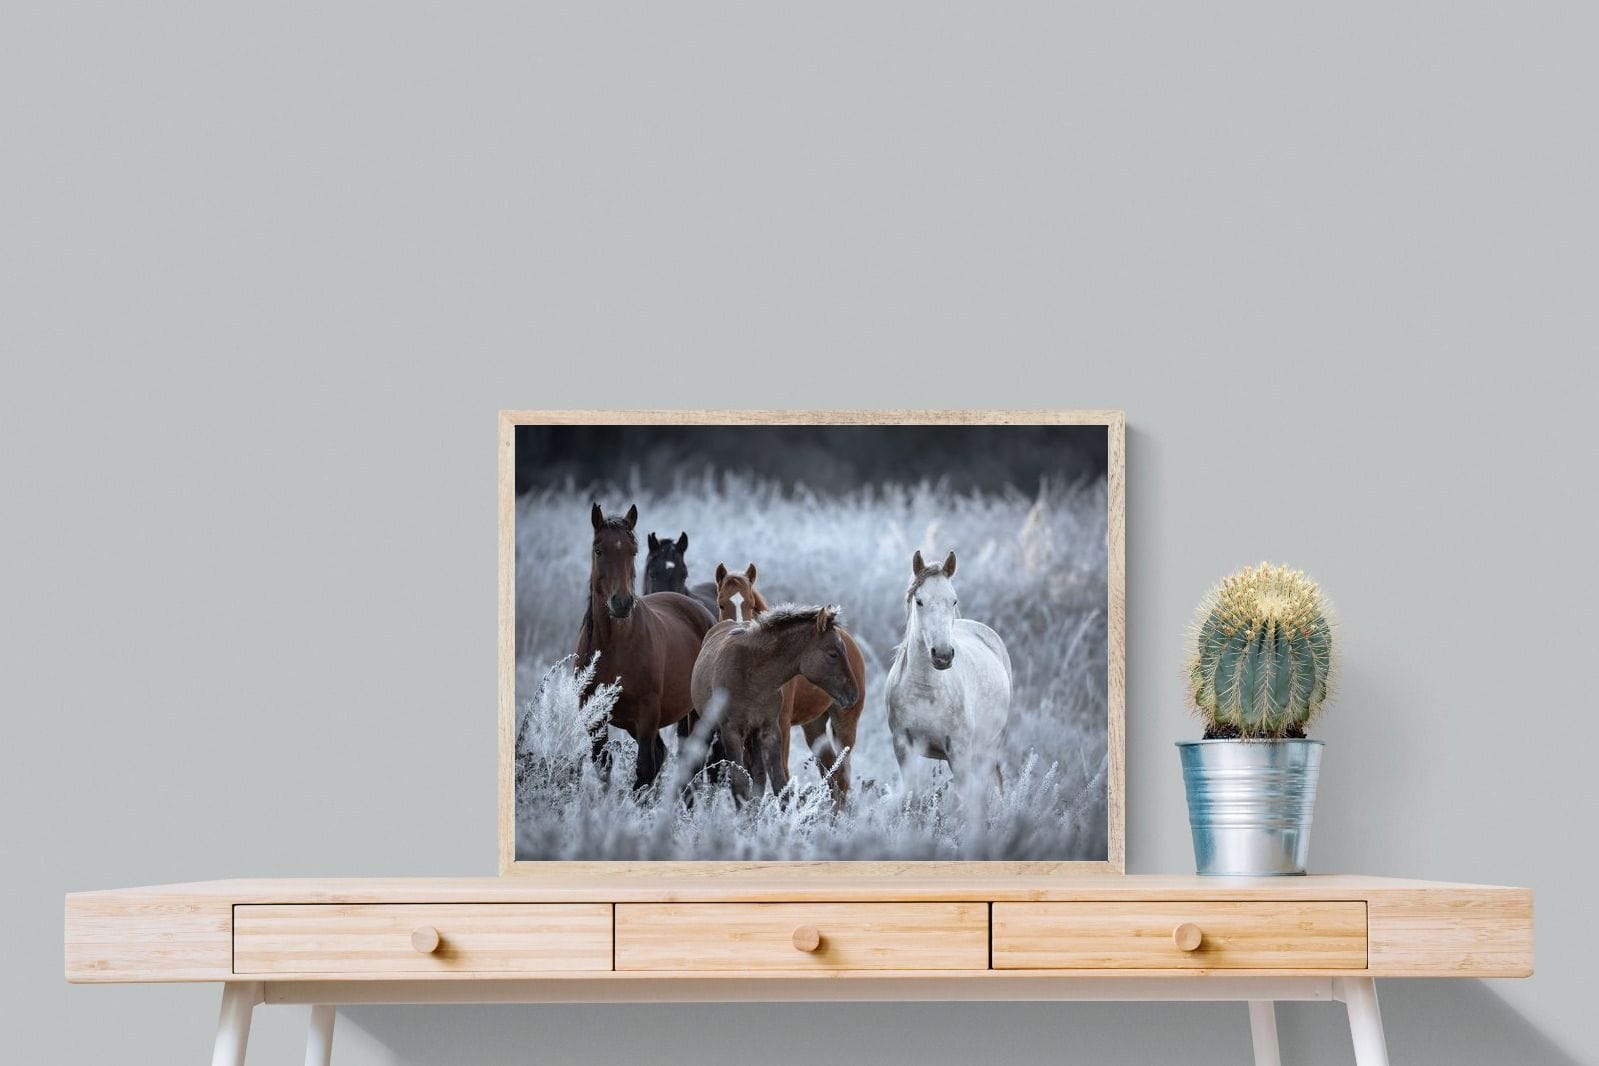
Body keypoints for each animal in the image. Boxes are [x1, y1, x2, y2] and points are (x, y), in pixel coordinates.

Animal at [577, 503, 715, 790]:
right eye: (598, 549)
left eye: (633, 551)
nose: (621, 603)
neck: (613, 646)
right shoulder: (595, 717)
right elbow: (604, 767)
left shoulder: (647, 715)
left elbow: (643, 771)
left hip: (695, 713)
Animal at [690, 603, 858, 803]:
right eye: (833, 654)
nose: (853, 694)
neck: (753, 676)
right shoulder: (731, 732)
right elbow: (740, 784)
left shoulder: (769, 730)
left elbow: (779, 784)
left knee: (759, 776)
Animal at [714, 563, 867, 804]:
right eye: (721, 603)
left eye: (750, 603)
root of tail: (850, 641)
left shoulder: (780, 724)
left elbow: (782, 774)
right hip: (814, 725)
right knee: (830, 772)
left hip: (845, 723)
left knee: (842, 776)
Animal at [885, 550, 1013, 795]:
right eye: (919, 601)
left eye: (953, 600)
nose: (943, 655)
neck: (925, 690)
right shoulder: (903, 748)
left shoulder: (959, 752)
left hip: (988, 749)